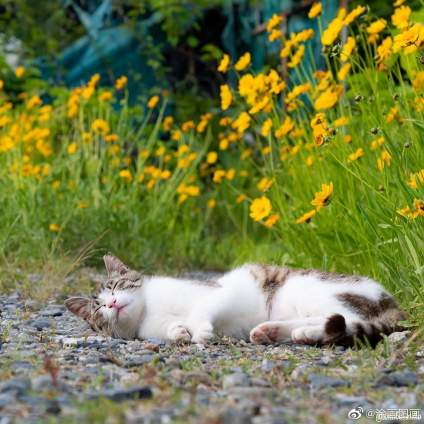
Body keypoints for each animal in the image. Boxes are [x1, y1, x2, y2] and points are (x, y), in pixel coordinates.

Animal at [64, 253, 406, 346]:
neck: (149, 310)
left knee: (346, 319)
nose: (111, 304)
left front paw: (200, 330)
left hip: (307, 289)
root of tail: (391, 302)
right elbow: (174, 329)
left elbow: (201, 310)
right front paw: (180, 332)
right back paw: (277, 331)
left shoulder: (219, 292)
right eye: (98, 309)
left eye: (115, 286)